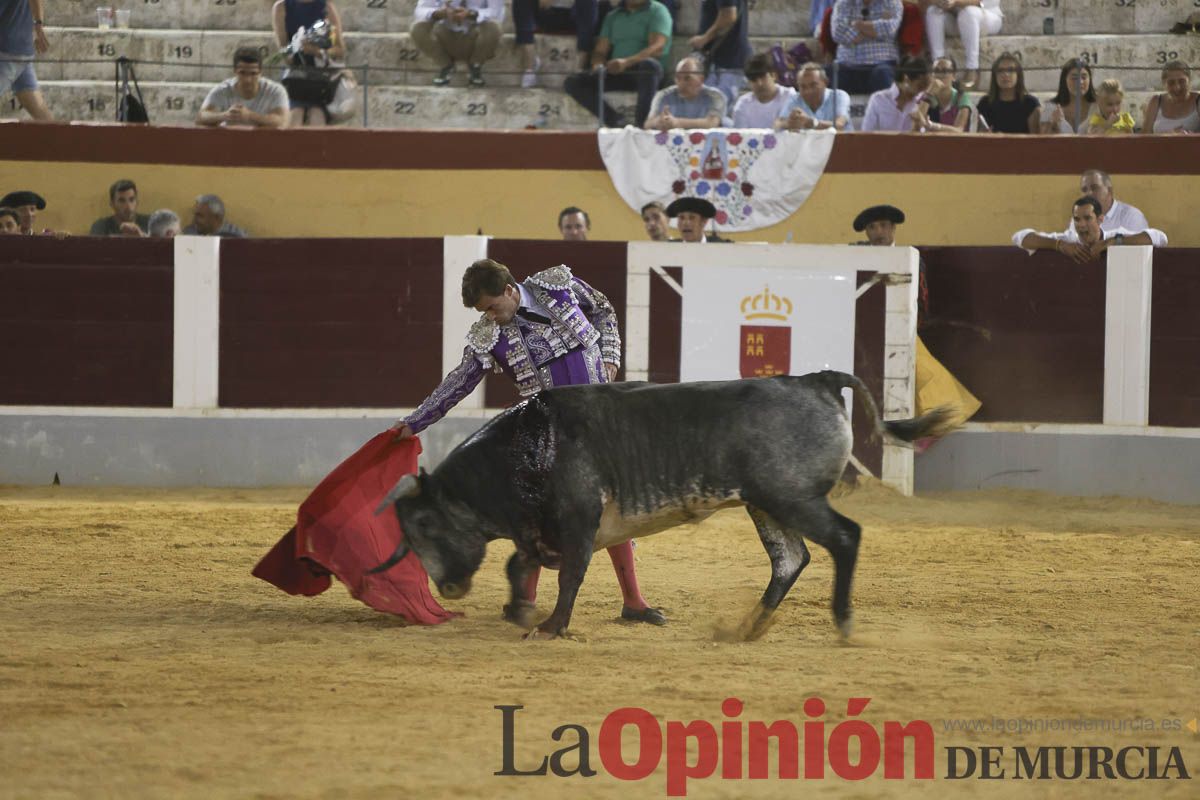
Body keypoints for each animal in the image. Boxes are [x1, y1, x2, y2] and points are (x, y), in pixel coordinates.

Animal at [369, 371, 950, 642]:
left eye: (426, 524)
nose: (446, 587)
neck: (527, 448)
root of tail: (816, 379)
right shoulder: (541, 529)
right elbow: (521, 563)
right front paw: (521, 610)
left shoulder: (577, 520)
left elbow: (569, 576)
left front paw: (551, 626)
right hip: (767, 503)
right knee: (790, 559)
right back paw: (747, 627)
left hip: (793, 497)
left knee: (843, 538)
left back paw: (843, 623)